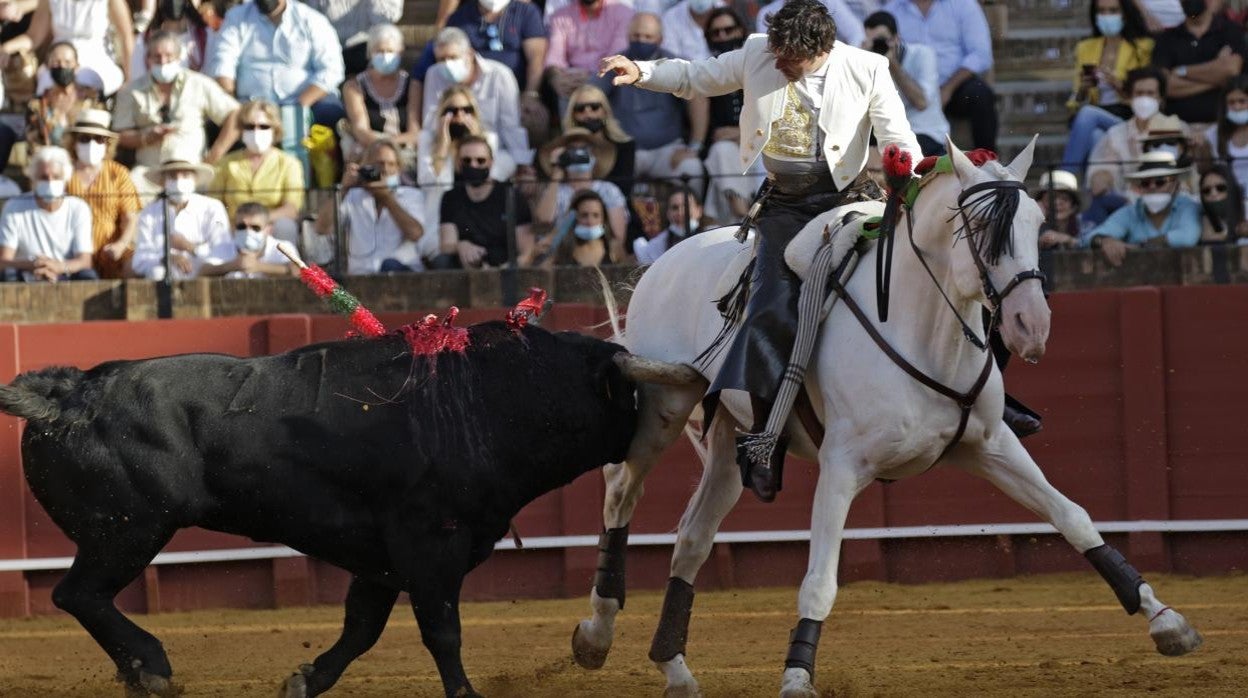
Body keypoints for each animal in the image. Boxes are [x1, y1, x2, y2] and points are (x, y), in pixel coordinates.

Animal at [0, 322, 643, 698]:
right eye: (631, 394)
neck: (489, 397)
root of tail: (71, 391)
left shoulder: (382, 559)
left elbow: (362, 627)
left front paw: (304, 682)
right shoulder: (429, 542)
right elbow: (442, 630)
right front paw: (465, 695)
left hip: (122, 535)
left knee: (85, 597)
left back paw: (137, 672)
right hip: (129, 532)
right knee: (79, 594)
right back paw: (153, 669)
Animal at [571, 139, 1203, 694]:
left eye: (1037, 221)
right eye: (980, 231)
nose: (1033, 327)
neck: (922, 329)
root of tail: (667, 259)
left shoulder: (991, 444)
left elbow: (1074, 517)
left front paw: (1166, 620)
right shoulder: (842, 466)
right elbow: (819, 581)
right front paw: (797, 676)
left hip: (731, 439)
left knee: (692, 536)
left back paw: (674, 668)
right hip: (665, 407)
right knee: (619, 491)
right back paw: (595, 636)